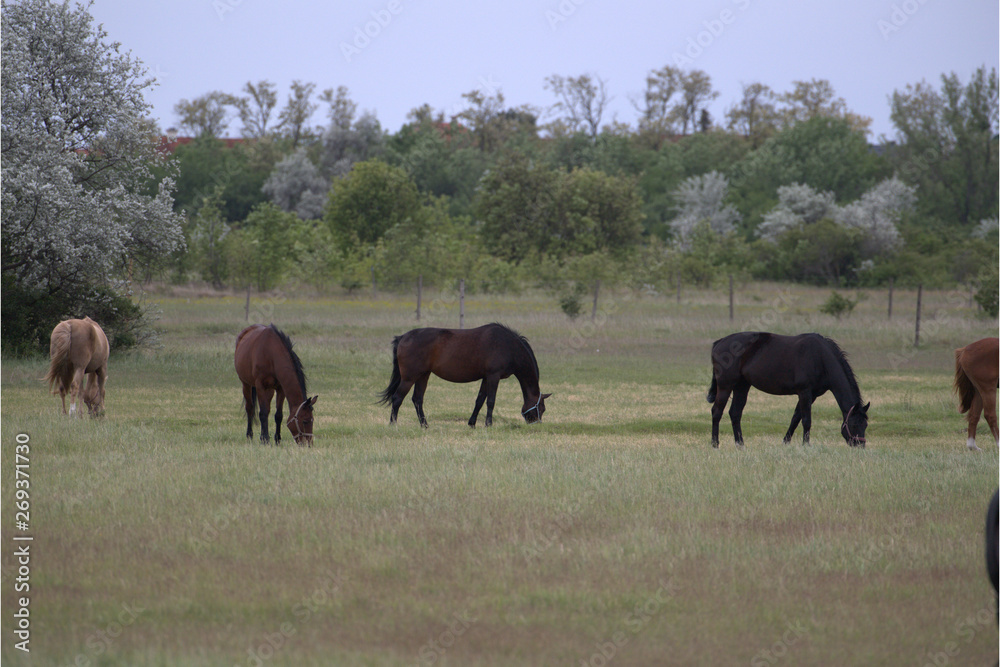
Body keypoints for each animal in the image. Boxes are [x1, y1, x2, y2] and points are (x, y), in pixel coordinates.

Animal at [378, 324, 552, 428]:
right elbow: (490, 401)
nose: (537, 425)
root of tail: (402, 337)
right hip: (409, 377)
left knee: (417, 399)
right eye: (541, 408)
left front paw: (472, 423)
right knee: (397, 398)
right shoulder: (493, 376)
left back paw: (425, 425)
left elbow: (480, 400)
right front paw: (488, 424)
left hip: (423, 376)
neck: (508, 346)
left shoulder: (486, 378)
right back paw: (393, 425)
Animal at [708, 332, 872, 448]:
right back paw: (715, 444)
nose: (860, 445)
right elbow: (806, 420)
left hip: (742, 387)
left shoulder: (811, 395)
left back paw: (740, 444)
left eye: (865, 425)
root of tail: (719, 342)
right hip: (725, 386)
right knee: (717, 411)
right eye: (854, 425)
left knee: (735, 413)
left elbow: (795, 418)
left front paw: (786, 442)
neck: (820, 358)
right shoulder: (804, 392)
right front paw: (806, 445)